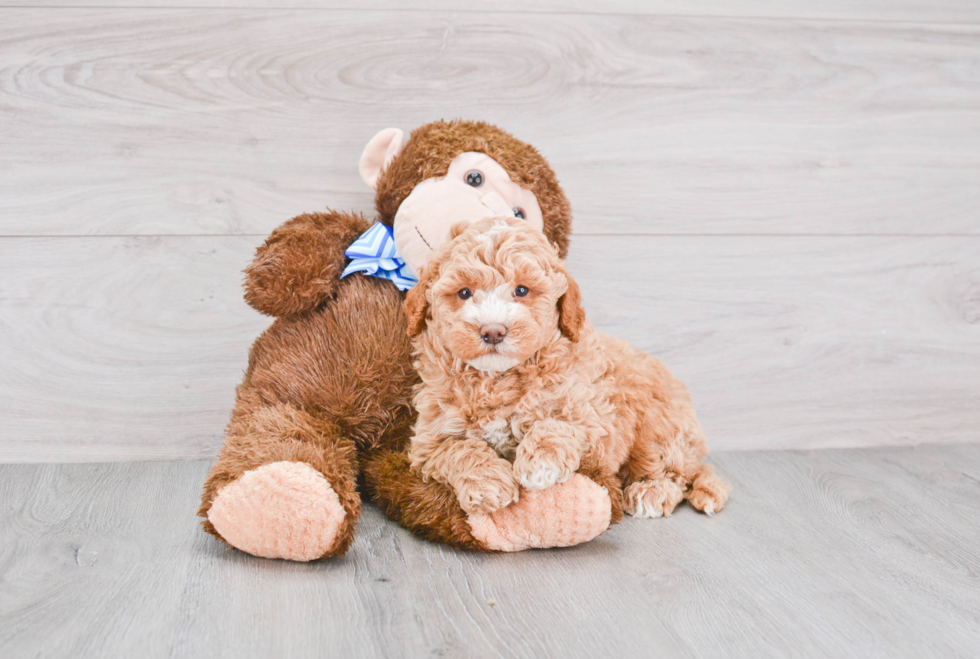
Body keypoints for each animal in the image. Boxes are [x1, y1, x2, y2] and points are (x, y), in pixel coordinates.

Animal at [402, 218, 732, 520]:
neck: (498, 379)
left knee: (675, 472)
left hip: (658, 425)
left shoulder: (595, 420)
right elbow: (460, 449)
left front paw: (539, 464)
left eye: (522, 290)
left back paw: (652, 491)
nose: (493, 331)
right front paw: (488, 485)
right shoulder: (429, 440)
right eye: (464, 293)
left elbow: (557, 425)